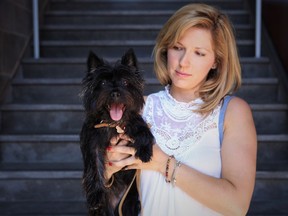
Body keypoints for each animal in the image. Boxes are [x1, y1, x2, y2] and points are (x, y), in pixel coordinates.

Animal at [79, 49, 153, 216]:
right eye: (103, 83)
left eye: (125, 82)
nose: (115, 93)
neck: (113, 124)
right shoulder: (92, 145)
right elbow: (94, 166)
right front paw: (95, 195)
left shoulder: (132, 122)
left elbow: (143, 130)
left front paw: (145, 151)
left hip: (129, 203)